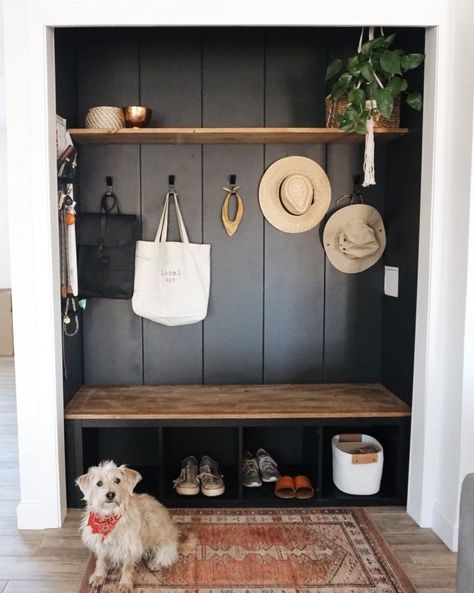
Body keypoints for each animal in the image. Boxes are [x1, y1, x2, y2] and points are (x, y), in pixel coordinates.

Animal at [77, 458, 195, 592]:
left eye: (117, 480)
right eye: (99, 483)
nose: (110, 494)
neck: (110, 515)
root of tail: (176, 540)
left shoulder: (130, 544)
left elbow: (127, 567)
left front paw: (125, 583)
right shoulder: (100, 542)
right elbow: (100, 561)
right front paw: (99, 576)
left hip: (164, 543)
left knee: (166, 556)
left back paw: (155, 563)